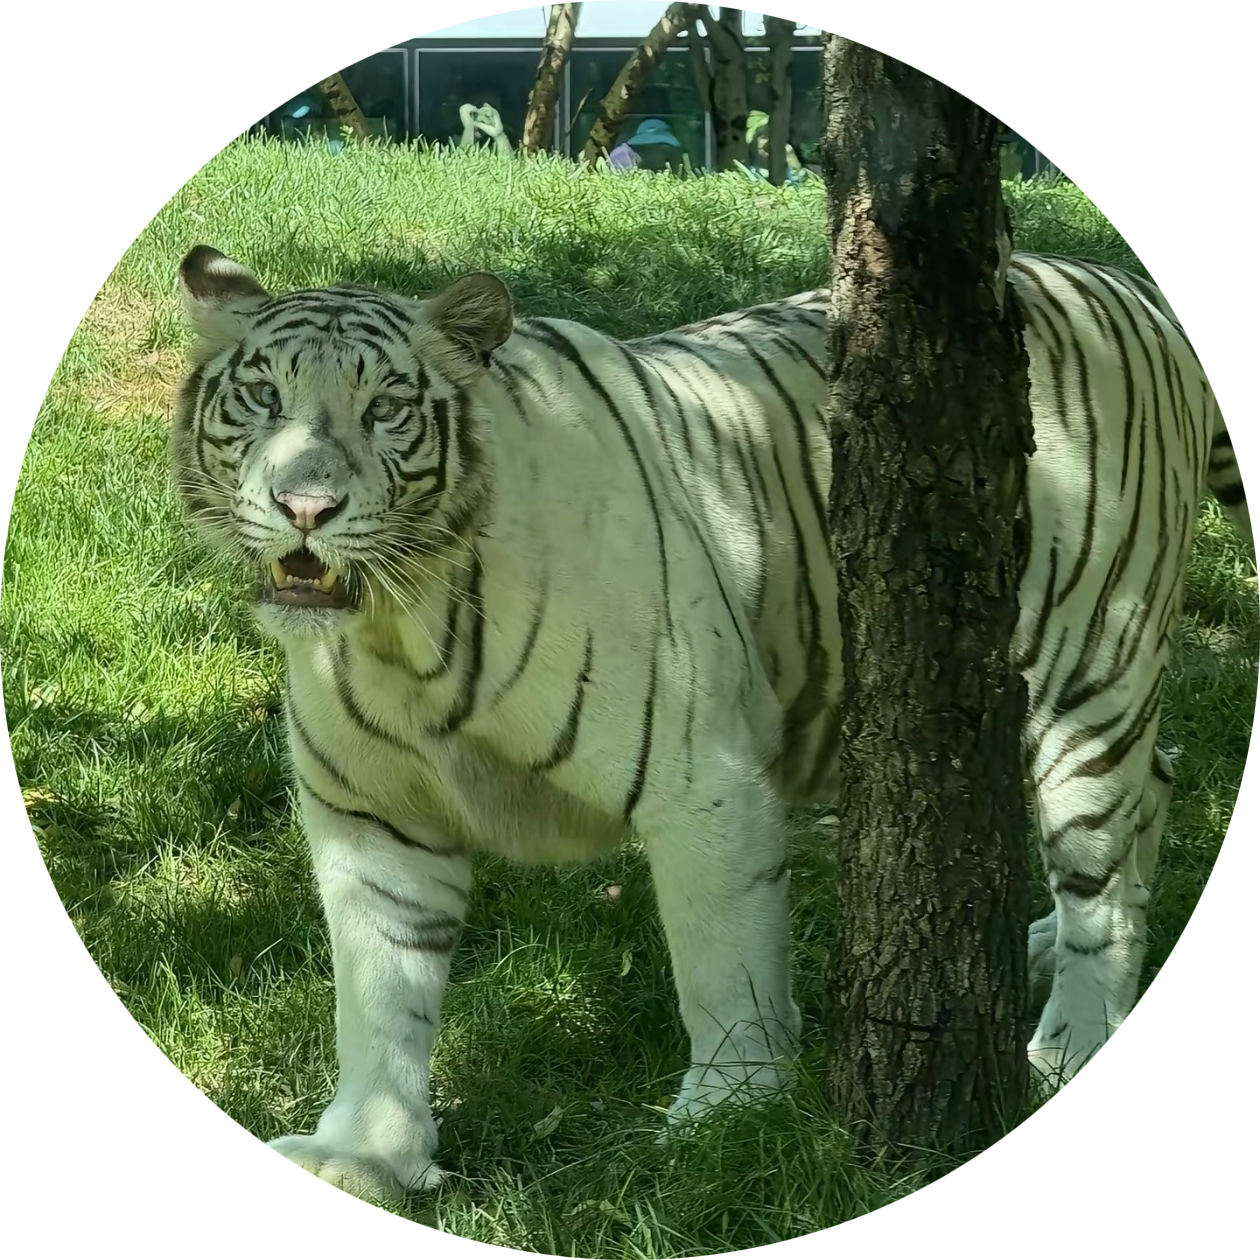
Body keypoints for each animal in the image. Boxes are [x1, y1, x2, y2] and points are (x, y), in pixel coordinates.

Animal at [173, 244, 1249, 1203]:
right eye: (263, 398)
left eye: (386, 409)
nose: (304, 506)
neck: (399, 630)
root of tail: (1122, 282)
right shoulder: (373, 815)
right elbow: (378, 990)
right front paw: (366, 1152)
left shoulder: (703, 780)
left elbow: (720, 959)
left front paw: (729, 1112)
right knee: (1151, 793)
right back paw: (1041, 946)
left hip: (1088, 667)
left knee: (1103, 876)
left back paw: (1069, 1043)